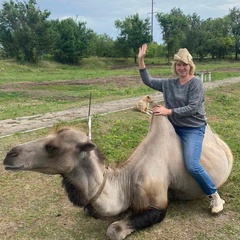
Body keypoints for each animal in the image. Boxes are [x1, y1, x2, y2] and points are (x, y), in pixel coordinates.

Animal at [3, 115, 232, 239]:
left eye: (52, 147)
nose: (9, 155)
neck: (125, 182)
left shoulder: (157, 205)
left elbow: (114, 229)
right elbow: (89, 210)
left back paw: (216, 203)